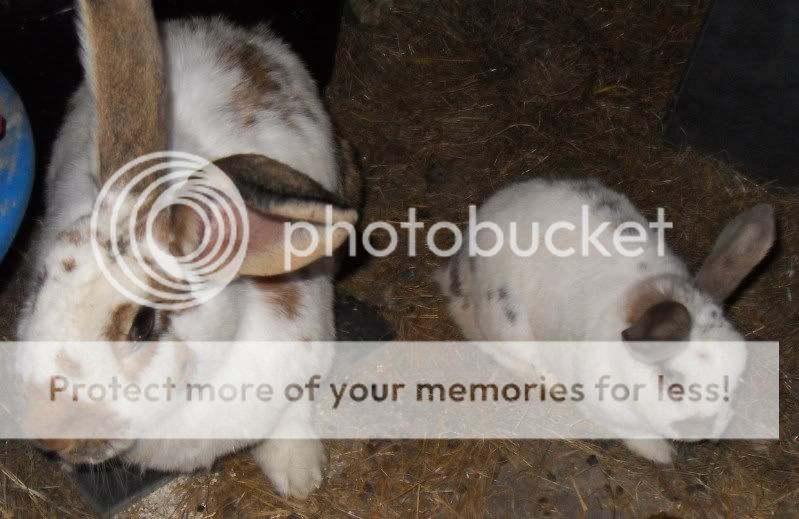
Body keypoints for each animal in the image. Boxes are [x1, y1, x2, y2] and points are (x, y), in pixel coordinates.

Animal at [15, 0, 360, 500]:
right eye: (40, 281)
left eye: (143, 325)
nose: (46, 433)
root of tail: (233, 31)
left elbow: (292, 417)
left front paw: (299, 477)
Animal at [440, 179, 780, 464]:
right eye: (670, 382)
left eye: (737, 379)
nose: (704, 429)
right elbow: (636, 434)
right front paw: (661, 454)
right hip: (507, 322)